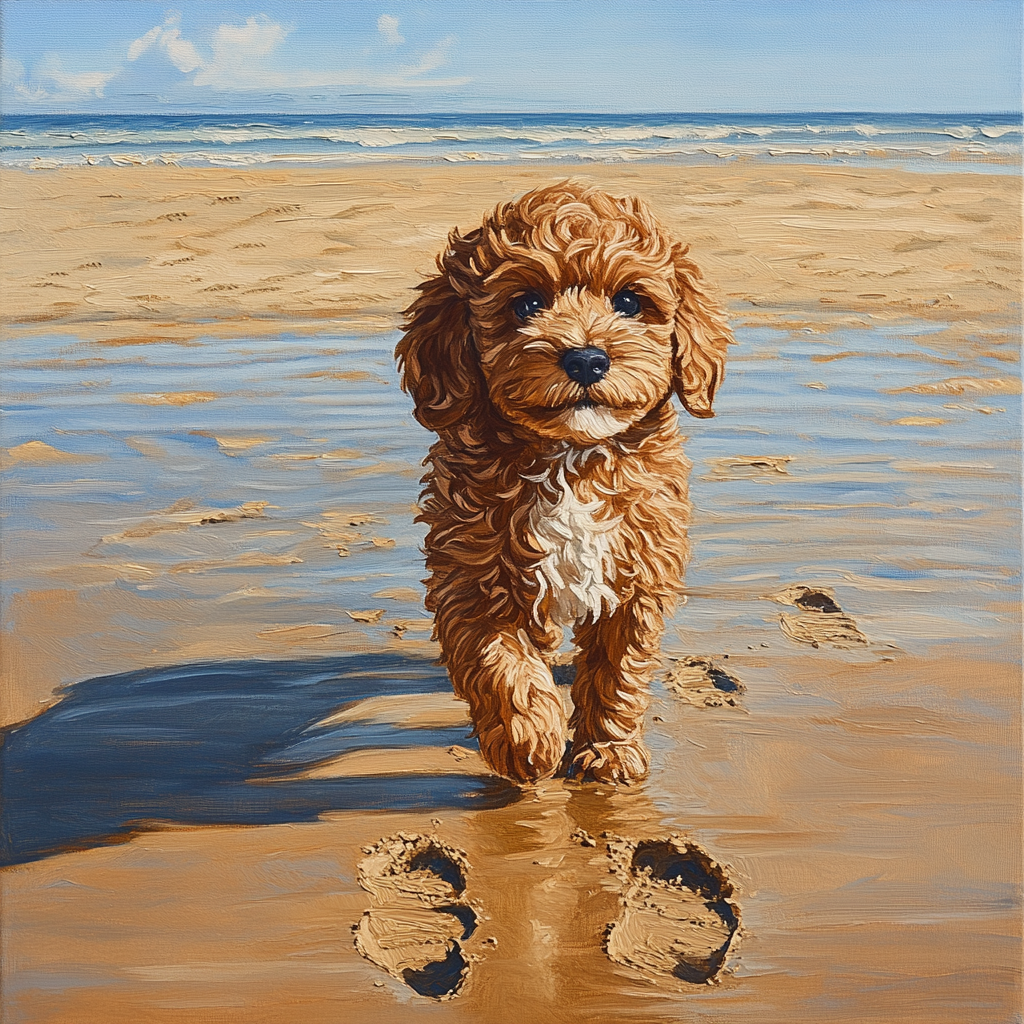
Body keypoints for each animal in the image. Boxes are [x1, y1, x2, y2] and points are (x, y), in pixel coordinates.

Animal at [395, 180, 733, 782]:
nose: (587, 359)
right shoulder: (471, 573)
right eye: (527, 304)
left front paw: (609, 750)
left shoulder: (637, 574)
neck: (572, 459)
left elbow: (619, 668)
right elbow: (498, 660)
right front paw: (529, 739)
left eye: (630, 302)